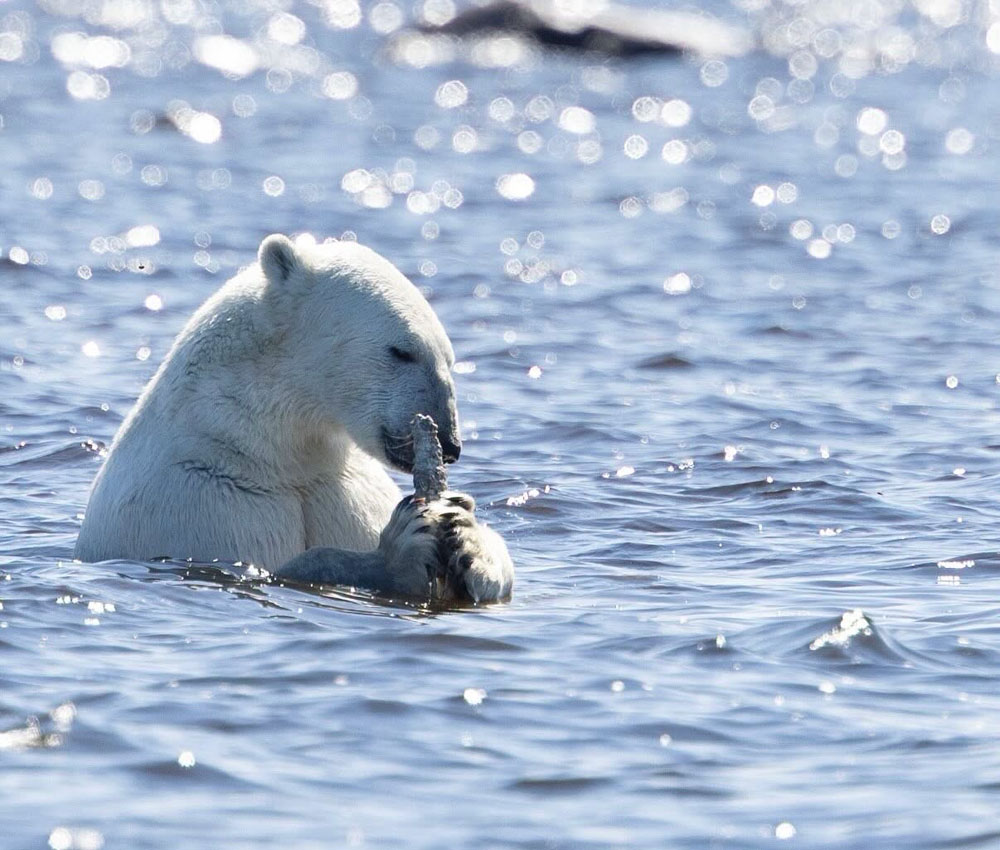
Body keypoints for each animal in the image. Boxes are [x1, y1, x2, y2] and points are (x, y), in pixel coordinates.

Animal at [74, 233, 514, 602]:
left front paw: (467, 533)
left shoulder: (345, 490)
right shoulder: (197, 505)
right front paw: (400, 550)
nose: (451, 444)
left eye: (449, 359)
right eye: (402, 351)